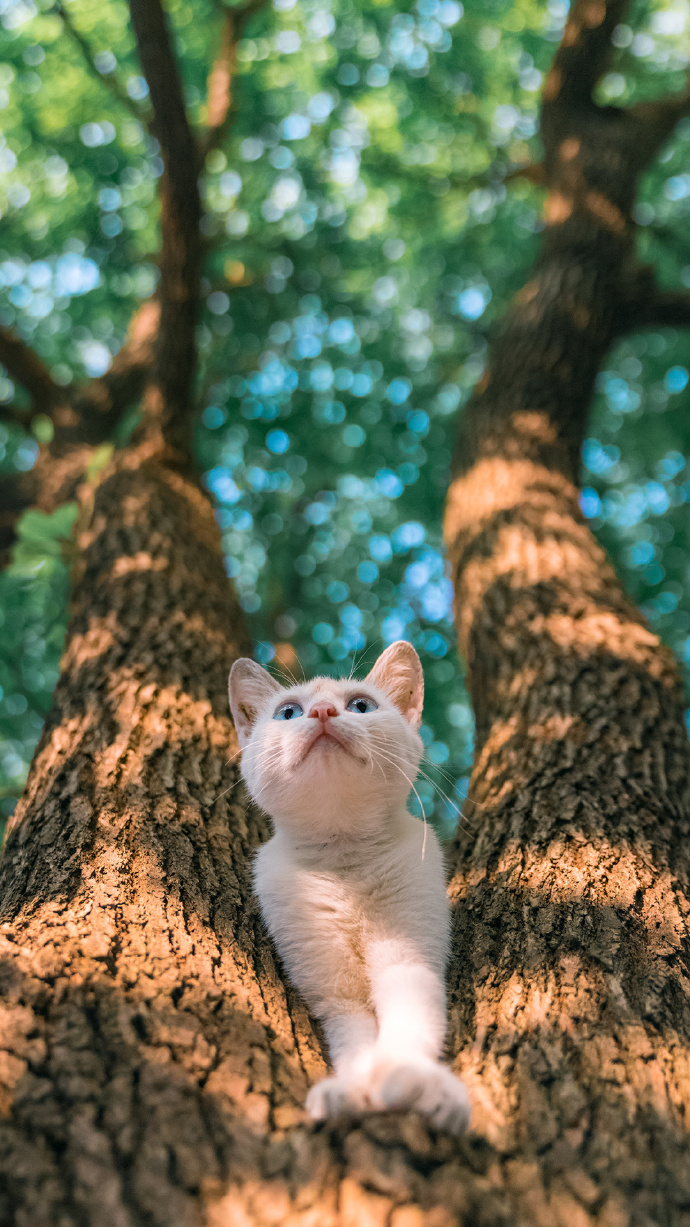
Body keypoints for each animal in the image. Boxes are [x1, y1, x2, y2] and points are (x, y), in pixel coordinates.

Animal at [228, 642, 469, 1128]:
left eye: (361, 706)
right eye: (288, 712)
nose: (322, 712)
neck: (345, 862)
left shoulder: (409, 958)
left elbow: (411, 1023)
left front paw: (413, 1081)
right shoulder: (331, 989)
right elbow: (354, 1038)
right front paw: (351, 1090)